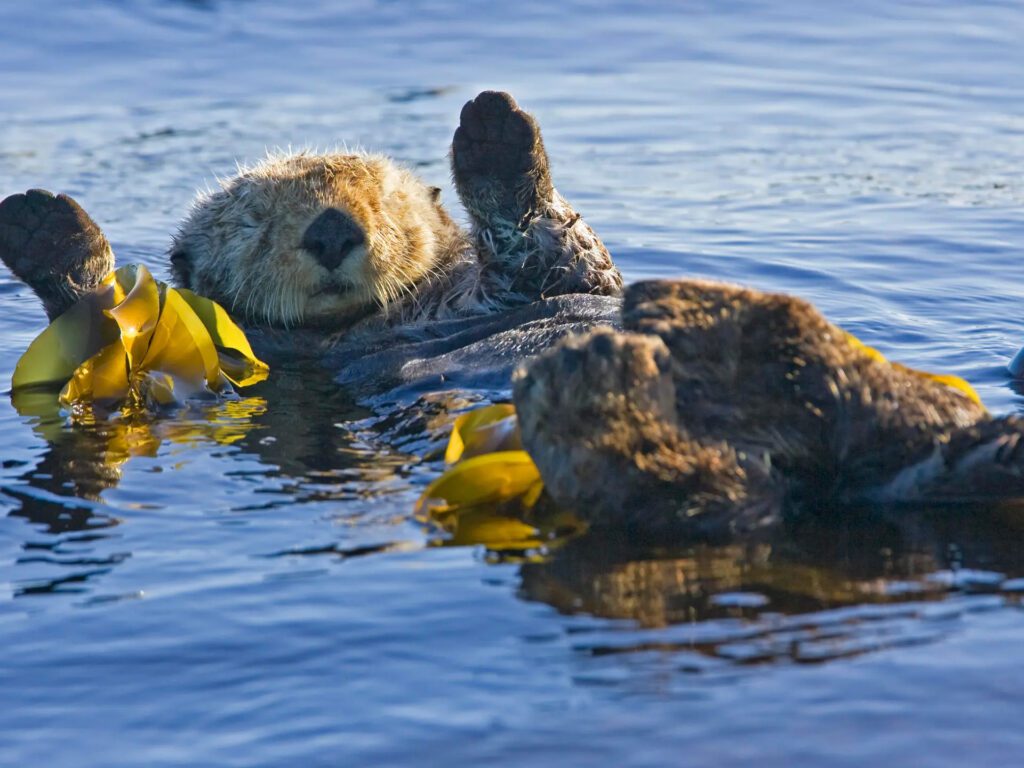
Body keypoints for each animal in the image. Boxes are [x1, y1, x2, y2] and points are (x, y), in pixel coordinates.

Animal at [0, 91, 622, 391]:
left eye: (385, 203)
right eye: (255, 221)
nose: (331, 231)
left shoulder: (529, 286)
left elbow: (561, 257)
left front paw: (495, 133)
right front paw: (47, 232)